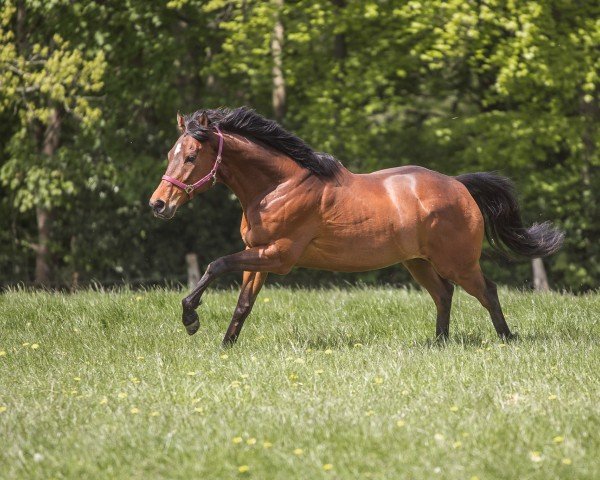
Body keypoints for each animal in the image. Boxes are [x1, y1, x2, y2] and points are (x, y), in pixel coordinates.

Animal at [149, 107, 564, 344]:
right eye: (170, 153)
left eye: (191, 156)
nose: (158, 204)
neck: (277, 187)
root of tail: (459, 185)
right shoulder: (258, 256)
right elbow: (243, 305)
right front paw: (225, 345)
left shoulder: (278, 256)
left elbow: (215, 264)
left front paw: (190, 318)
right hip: (418, 262)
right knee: (443, 294)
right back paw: (440, 343)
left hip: (457, 262)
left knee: (486, 291)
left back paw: (507, 338)